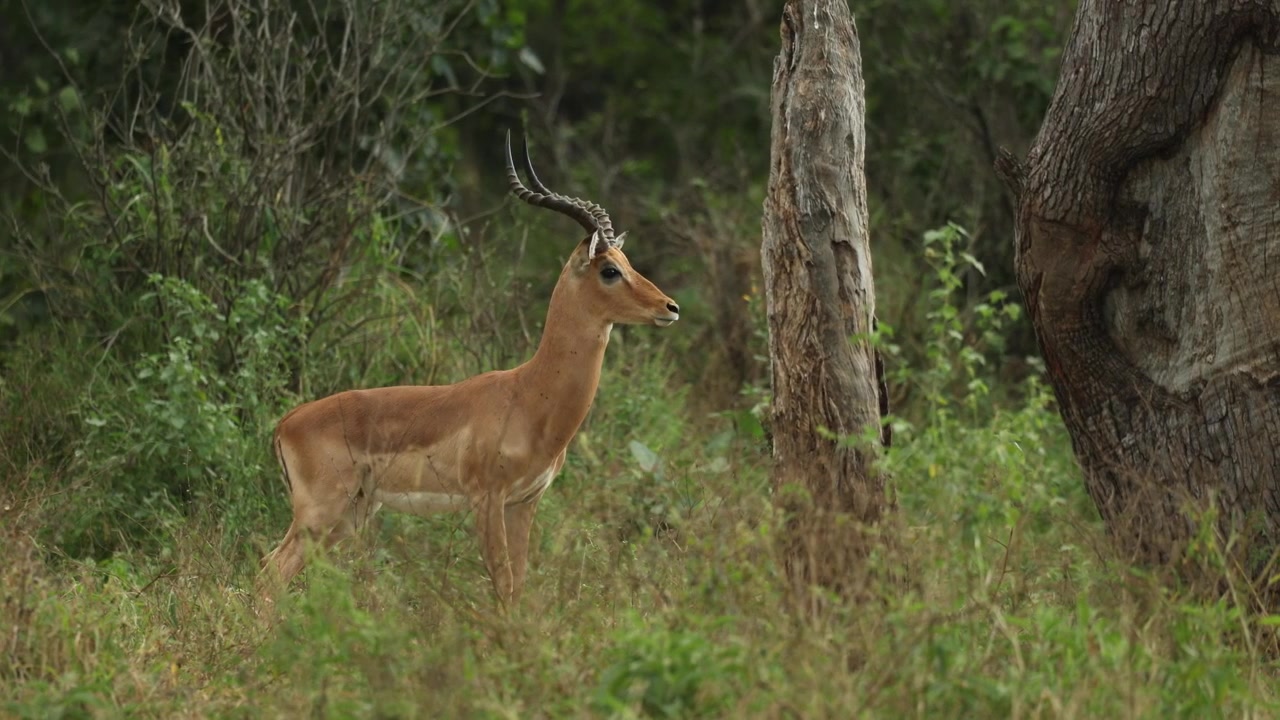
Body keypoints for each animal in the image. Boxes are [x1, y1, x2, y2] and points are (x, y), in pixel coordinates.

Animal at [257, 131, 680, 606]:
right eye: (609, 270)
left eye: (628, 264)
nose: (670, 307)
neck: (531, 394)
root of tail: (287, 422)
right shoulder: (487, 499)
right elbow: (503, 583)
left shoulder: (524, 502)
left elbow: (519, 585)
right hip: (323, 511)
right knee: (270, 572)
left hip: (351, 514)